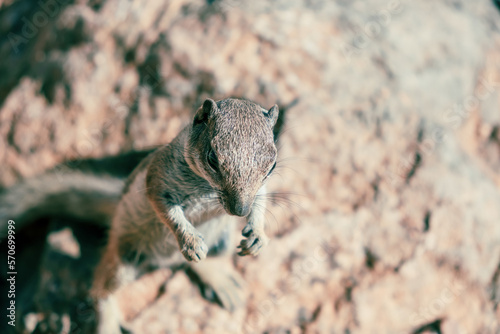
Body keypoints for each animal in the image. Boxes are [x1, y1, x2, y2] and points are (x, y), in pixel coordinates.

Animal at [0, 96, 282, 332]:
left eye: (272, 165)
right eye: (212, 158)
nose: (239, 211)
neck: (206, 189)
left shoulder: (260, 189)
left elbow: (261, 197)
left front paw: (258, 234)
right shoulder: (158, 180)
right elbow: (169, 212)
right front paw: (190, 241)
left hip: (222, 240)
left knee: (207, 259)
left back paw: (221, 280)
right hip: (123, 259)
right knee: (100, 290)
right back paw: (108, 323)